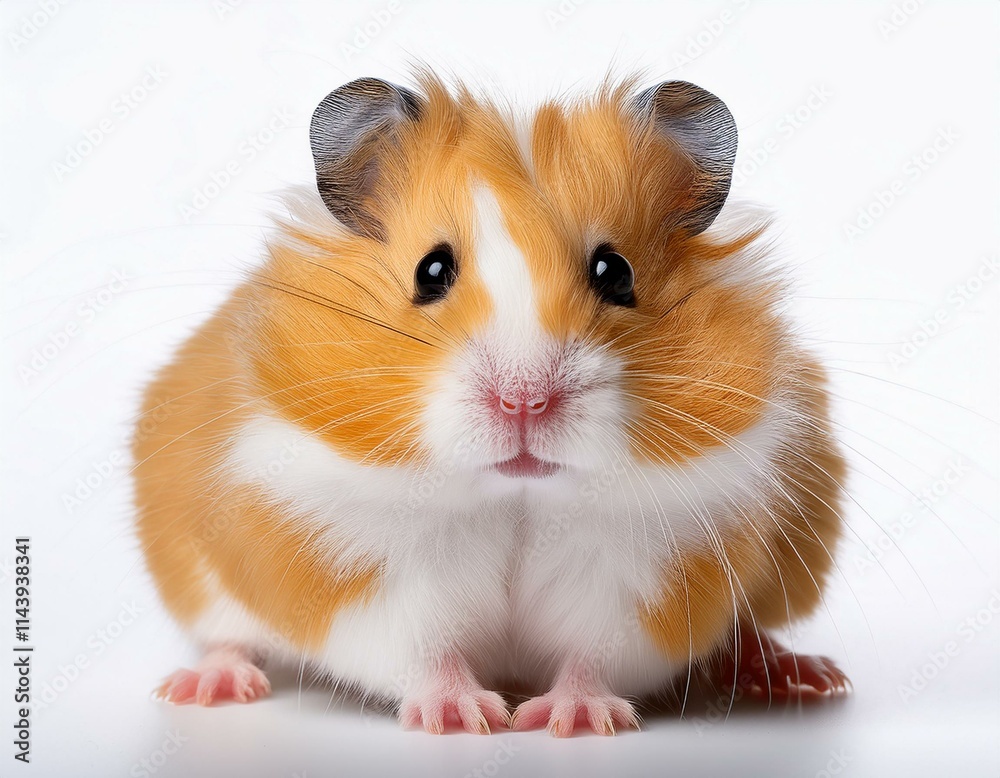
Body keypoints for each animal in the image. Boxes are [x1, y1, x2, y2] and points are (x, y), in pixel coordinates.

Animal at [134, 71, 849, 736]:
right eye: (431, 271)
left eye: (614, 272)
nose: (523, 401)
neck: (517, 496)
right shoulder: (370, 574)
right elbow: (424, 652)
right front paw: (465, 718)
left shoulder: (645, 579)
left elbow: (595, 655)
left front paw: (573, 721)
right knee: (227, 636)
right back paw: (204, 687)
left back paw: (803, 674)